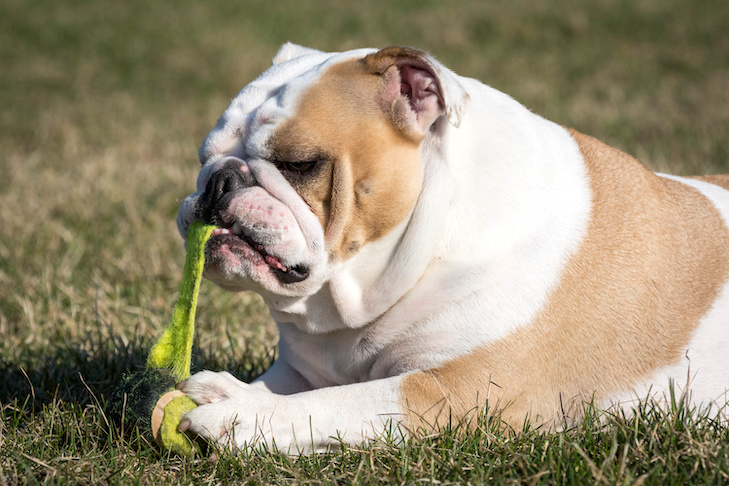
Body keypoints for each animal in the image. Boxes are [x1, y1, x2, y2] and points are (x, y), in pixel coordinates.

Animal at [175, 43, 728, 454]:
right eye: (204, 156)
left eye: (299, 164)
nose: (220, 181)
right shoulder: (300, 369)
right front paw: (233, 390)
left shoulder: (462, 393)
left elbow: (338, 403)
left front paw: (243, 417)